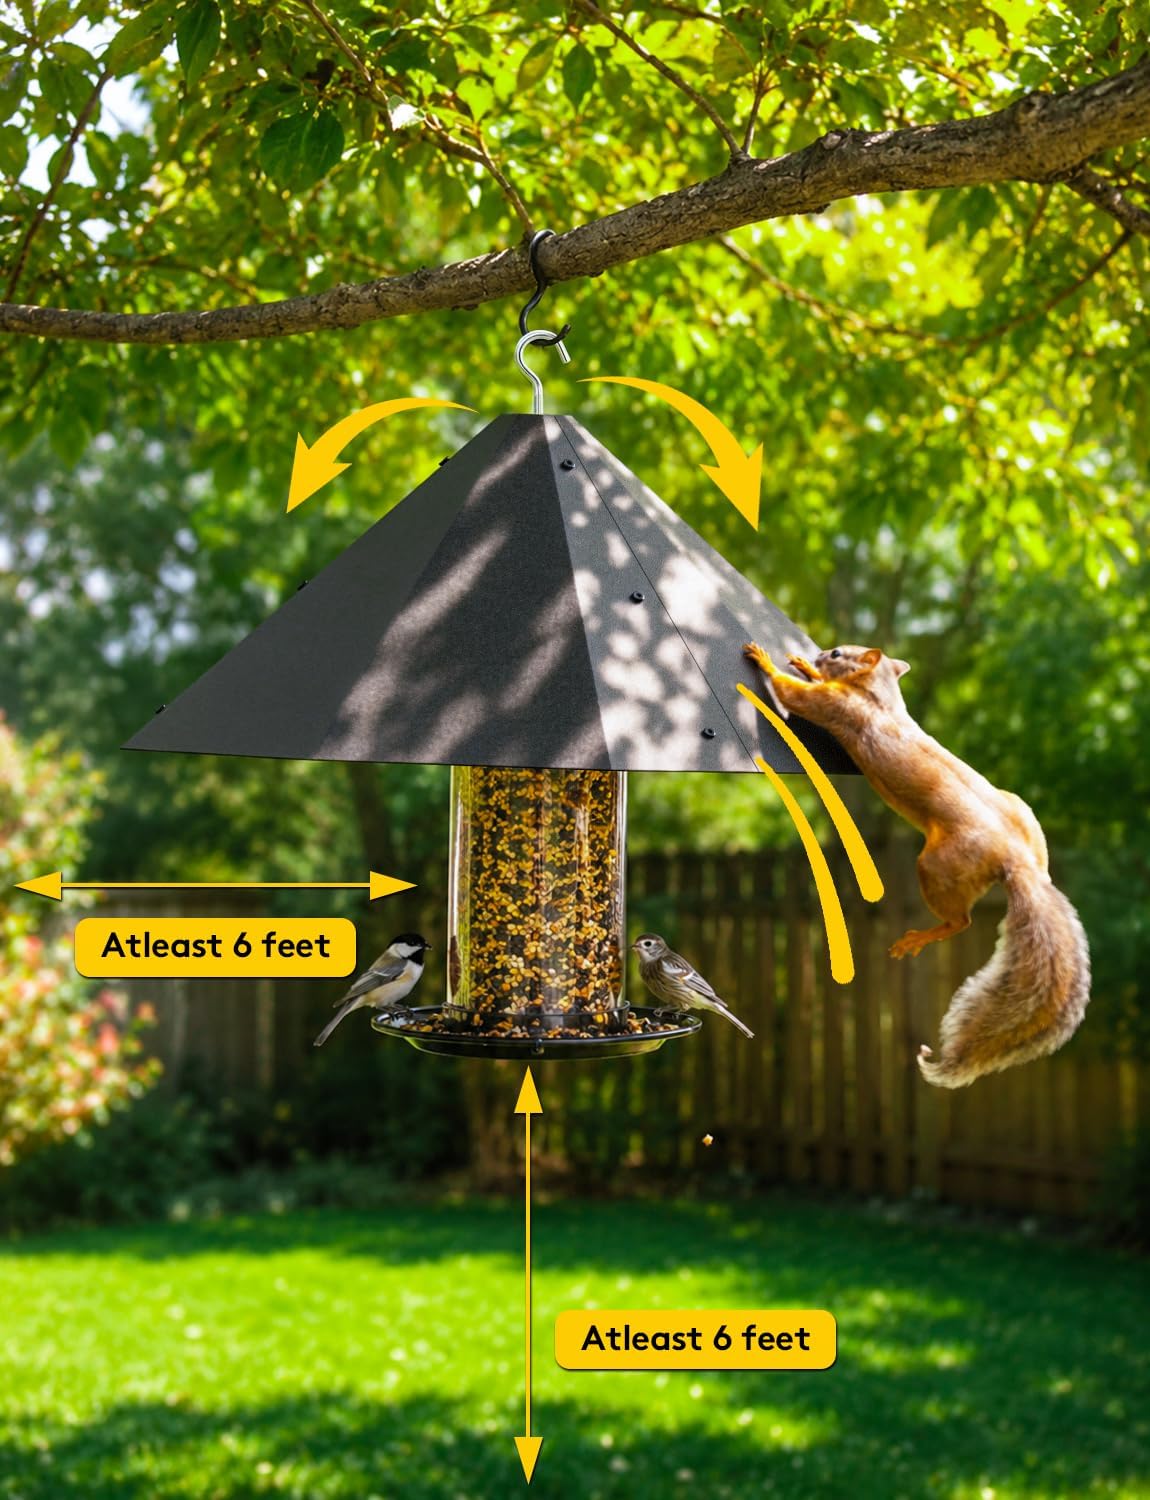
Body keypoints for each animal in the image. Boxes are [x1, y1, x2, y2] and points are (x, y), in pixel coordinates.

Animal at [744, 641, 1090, 1088]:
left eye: (838, 653)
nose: (818, 654)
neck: (882, 698)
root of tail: (1019, 861)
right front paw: (804, 665)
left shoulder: (839, 707)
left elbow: (796, 696)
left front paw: (766, 659)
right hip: (1021, 820)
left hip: (937, 866)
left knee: (961, 922)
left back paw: (917, 939)